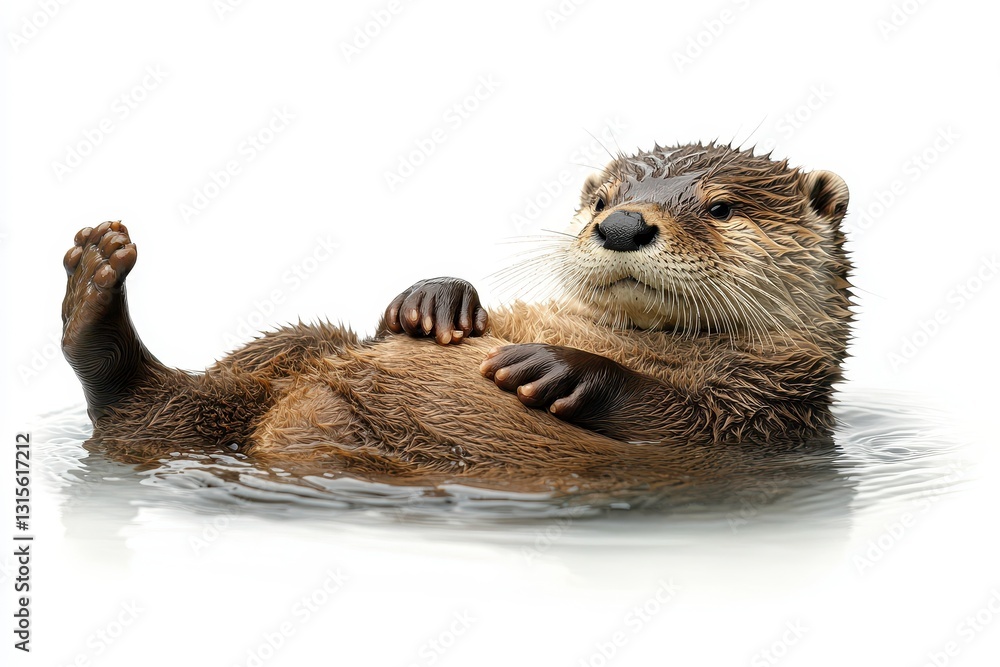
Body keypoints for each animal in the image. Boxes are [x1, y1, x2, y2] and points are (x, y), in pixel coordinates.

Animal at [61, 142, 851, 493]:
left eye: (721, 208)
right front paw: (435, 299)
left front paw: (561, 367)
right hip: (286, 353)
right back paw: (93, 292)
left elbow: (680, 418)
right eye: (602, 201)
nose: (623, 223)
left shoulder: (768, 407)